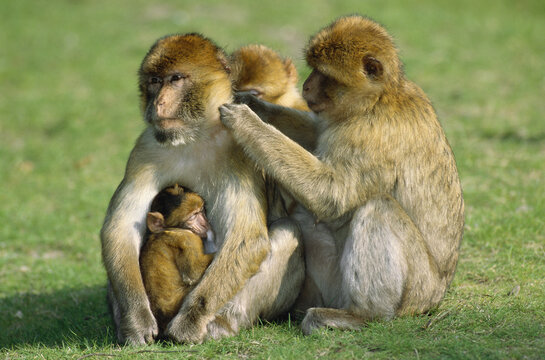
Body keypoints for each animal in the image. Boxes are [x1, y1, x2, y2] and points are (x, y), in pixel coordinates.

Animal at [219, 14, 466, 334]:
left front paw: (245, 121)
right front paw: (252, 105)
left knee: (376, 207)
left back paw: (361, 315)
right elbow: (315, 133)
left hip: (418, 290)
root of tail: (437, 296)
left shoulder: (369, 134)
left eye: (324, 74)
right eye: (313, 68)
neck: (377, 99)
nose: (306, 86)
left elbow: (331, 194)